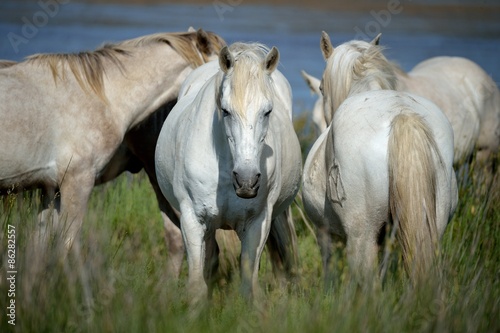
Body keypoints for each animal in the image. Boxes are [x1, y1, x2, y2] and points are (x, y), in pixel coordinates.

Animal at [156, 42, 302, 302]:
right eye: (225, 110)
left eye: (268, 111)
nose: (246, 181)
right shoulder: (192, 220)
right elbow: (197, 286)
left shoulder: (257, 224)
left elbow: (248, 287)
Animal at [300, 31, 458, 286]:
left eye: (322, 87)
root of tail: (402, 115)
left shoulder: (324, 232)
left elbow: (329, 269)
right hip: (432, 227)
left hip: (362, 237)